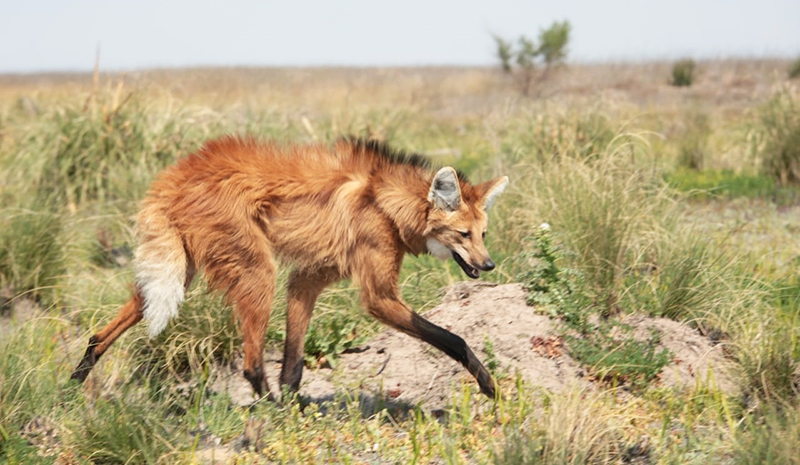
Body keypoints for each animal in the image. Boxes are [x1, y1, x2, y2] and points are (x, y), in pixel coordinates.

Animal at [69, 135, 506, 398]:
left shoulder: (309, 278)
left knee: (104, 330)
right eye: (464, 235)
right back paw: (265, 407)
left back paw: (74, 382)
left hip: (183, 267)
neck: (387, 202)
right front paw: (489, 384)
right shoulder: (379, 296)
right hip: (254, 270)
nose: (488, 264)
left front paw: (295, 406)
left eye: (483, 233)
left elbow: (294, 360)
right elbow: (453, 339)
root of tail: (177, 173)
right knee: (249, 364)